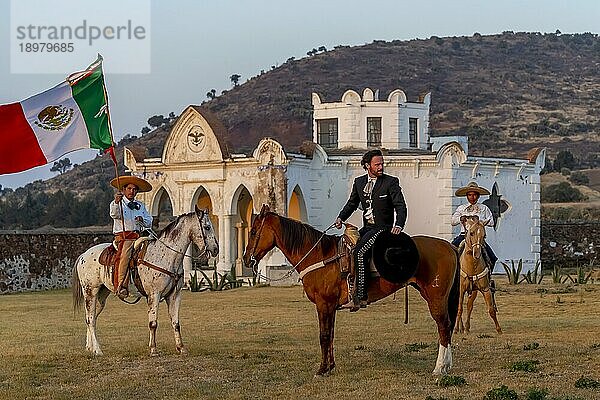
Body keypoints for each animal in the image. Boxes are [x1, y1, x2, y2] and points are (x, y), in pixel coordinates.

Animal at [72, 208, 218, 354]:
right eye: (207, 227)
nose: (216, 249)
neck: (166, 255)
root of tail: (83, 255)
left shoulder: (174, 295)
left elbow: (176, 323)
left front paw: (181, 348)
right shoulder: (154, 294)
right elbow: (153, 323)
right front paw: (153, 349)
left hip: (101, 295)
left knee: (91, 317)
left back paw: (89, 347)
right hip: (90, 292)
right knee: (90, 319)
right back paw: (97, 350)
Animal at [243, 205, 460, 376]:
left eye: (253, 232)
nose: (246, 259)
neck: (319, 255)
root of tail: (447, 245)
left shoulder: (323, 304)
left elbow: (323, 335)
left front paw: (322, 369)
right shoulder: (330, 306)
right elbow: (330, 335)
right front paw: (330, 366)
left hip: (436, 297)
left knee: (443, 326)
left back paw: (440, 368)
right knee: (447, 327)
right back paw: (446, 365)